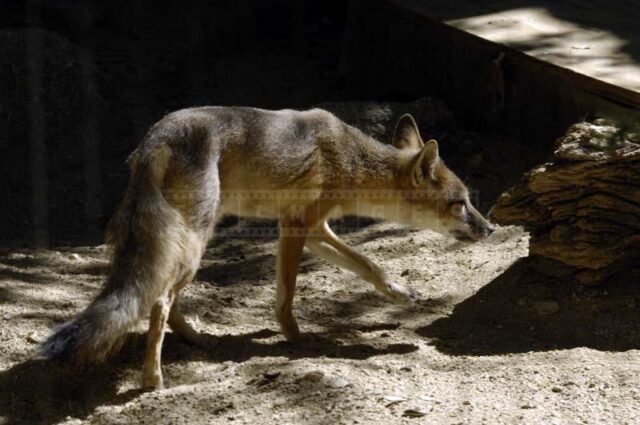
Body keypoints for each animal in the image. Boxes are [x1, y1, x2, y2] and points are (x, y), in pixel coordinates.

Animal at [40, 106, 494, 389]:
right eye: (461, 203)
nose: (490, 228)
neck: (351, 160)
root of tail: (156, 137)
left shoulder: (315, 228)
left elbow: (369, 266)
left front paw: (400, 294)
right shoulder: (296, 226)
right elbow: (287, 294)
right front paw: (294, 337)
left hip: (190, 245)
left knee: (165, 301)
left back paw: (201, 341)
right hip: (193, 246)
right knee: (159, 301)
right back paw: (153, 379)